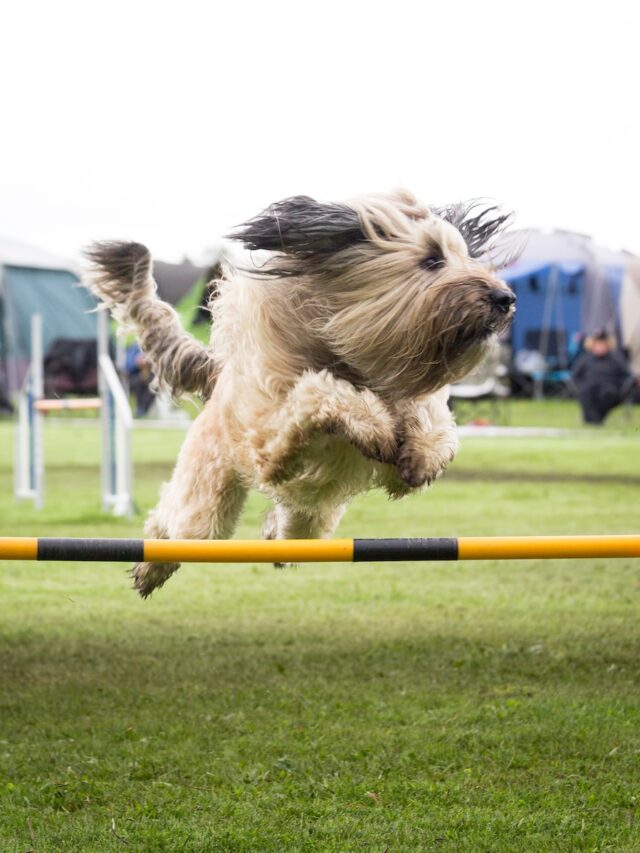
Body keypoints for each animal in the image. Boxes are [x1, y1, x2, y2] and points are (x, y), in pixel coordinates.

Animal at [86, 190, 516, 596]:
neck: (354, 361)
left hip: (309, 519)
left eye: (463, 256)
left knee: (287, 527)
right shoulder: (270, 441)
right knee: (175, 524)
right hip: (208, 501)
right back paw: (150, 568)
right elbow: (318, 392)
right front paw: (373, 426)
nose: (505, 299)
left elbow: (430, 416)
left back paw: (270, 532)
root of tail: (219, 376)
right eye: (432, 260)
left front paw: (423, 454)